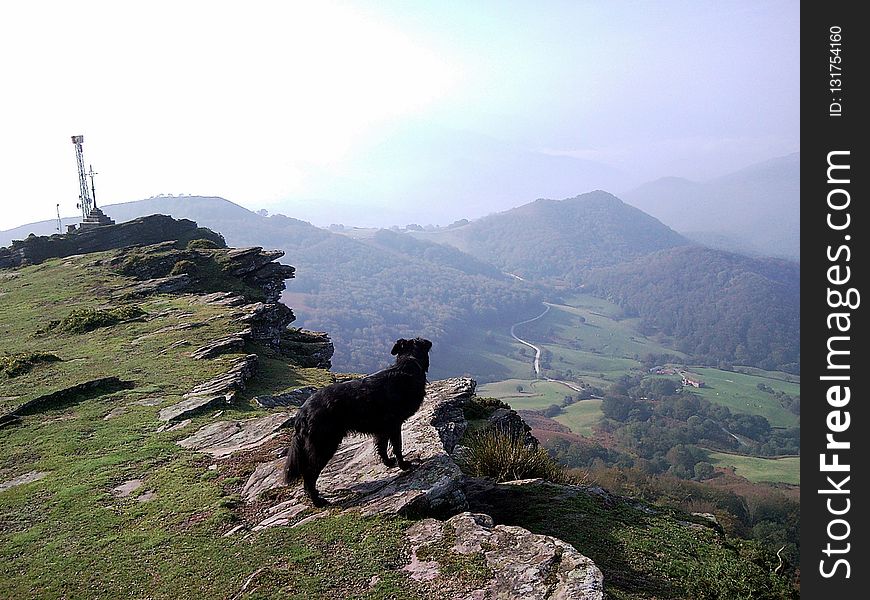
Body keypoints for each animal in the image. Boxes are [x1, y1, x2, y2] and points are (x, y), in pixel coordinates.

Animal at [282, 338, 432, 506]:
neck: (409, 364)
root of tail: (302, 412)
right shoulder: (394, 425)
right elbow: (397, 447)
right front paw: (404, 465)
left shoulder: (383, 429)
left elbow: (382, 447)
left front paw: (388, 462)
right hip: (324, 445)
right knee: (309, 474)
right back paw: (318, 501)